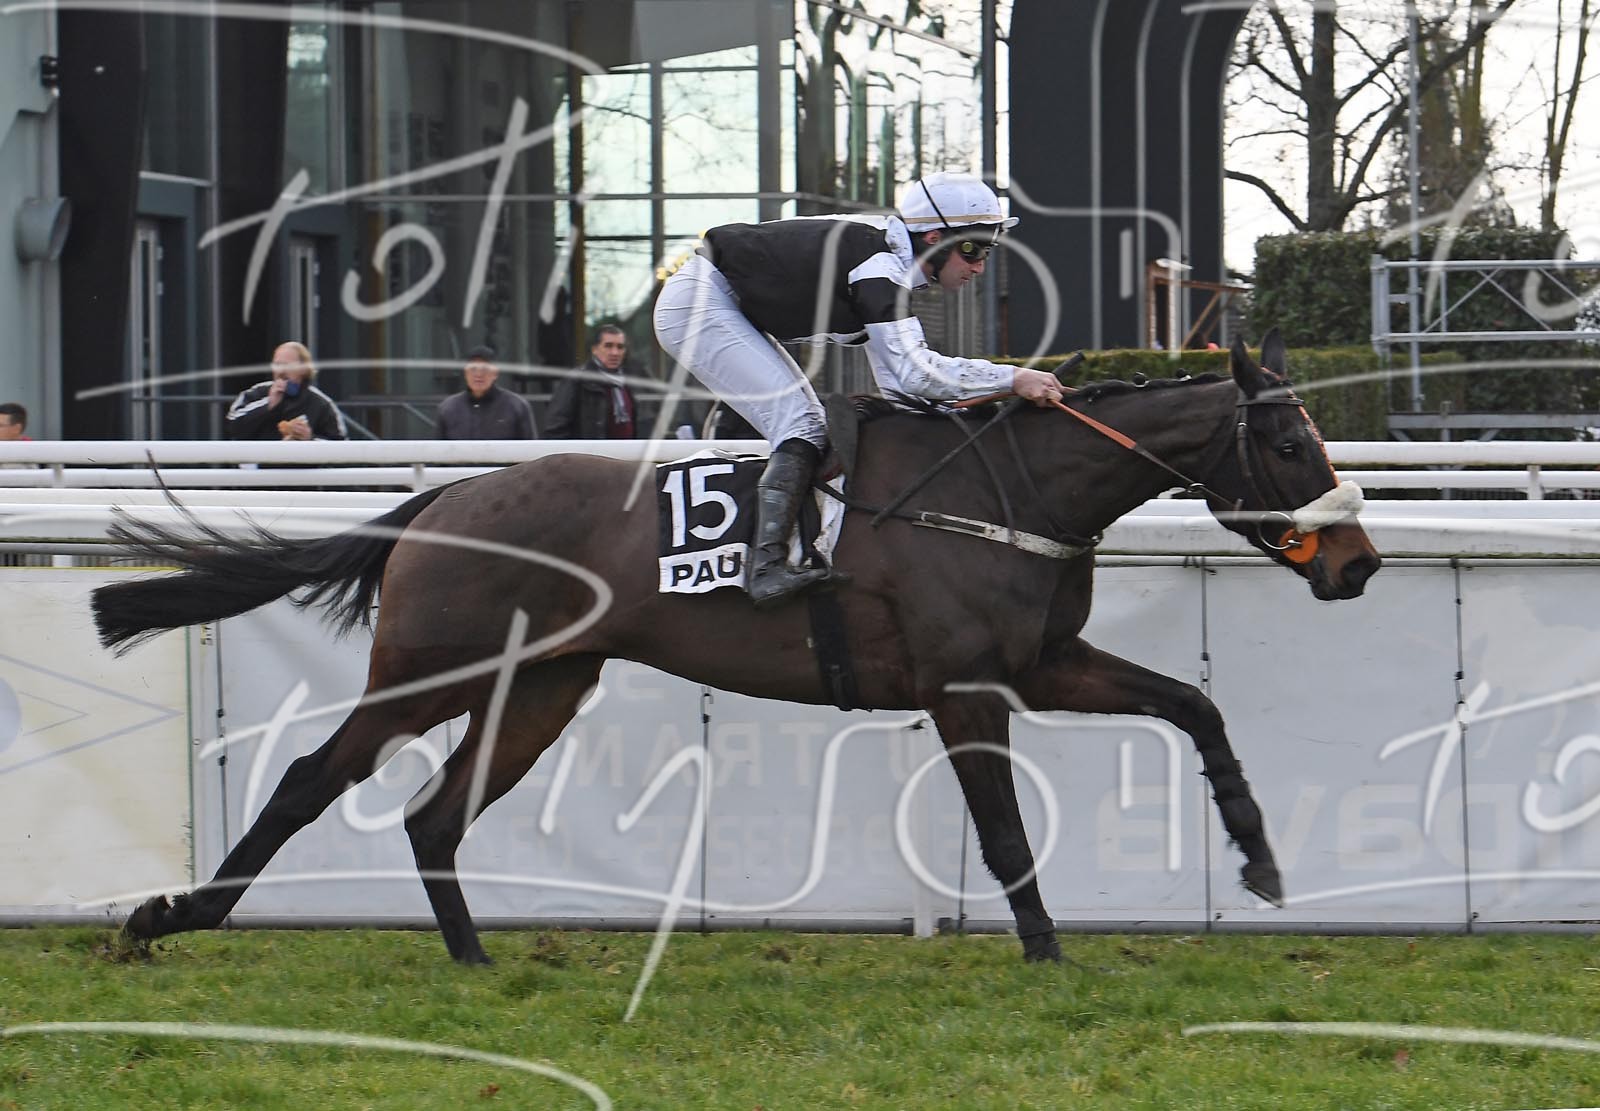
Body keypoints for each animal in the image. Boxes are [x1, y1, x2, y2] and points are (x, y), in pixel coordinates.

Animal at [95, 331, 1380, 965]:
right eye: (1289, 445)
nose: (1358, 562)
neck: (1011, 491)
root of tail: (445, 497)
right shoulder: (966, 687)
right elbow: (1005, 828)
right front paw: (1046, 952)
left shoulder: (1040, 665)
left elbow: (1194, 706)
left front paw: (1263, 861)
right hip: (430, 667)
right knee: (317, 775)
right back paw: (170, 918)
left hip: (541, 685)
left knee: (434, 814)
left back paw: (471, 960)